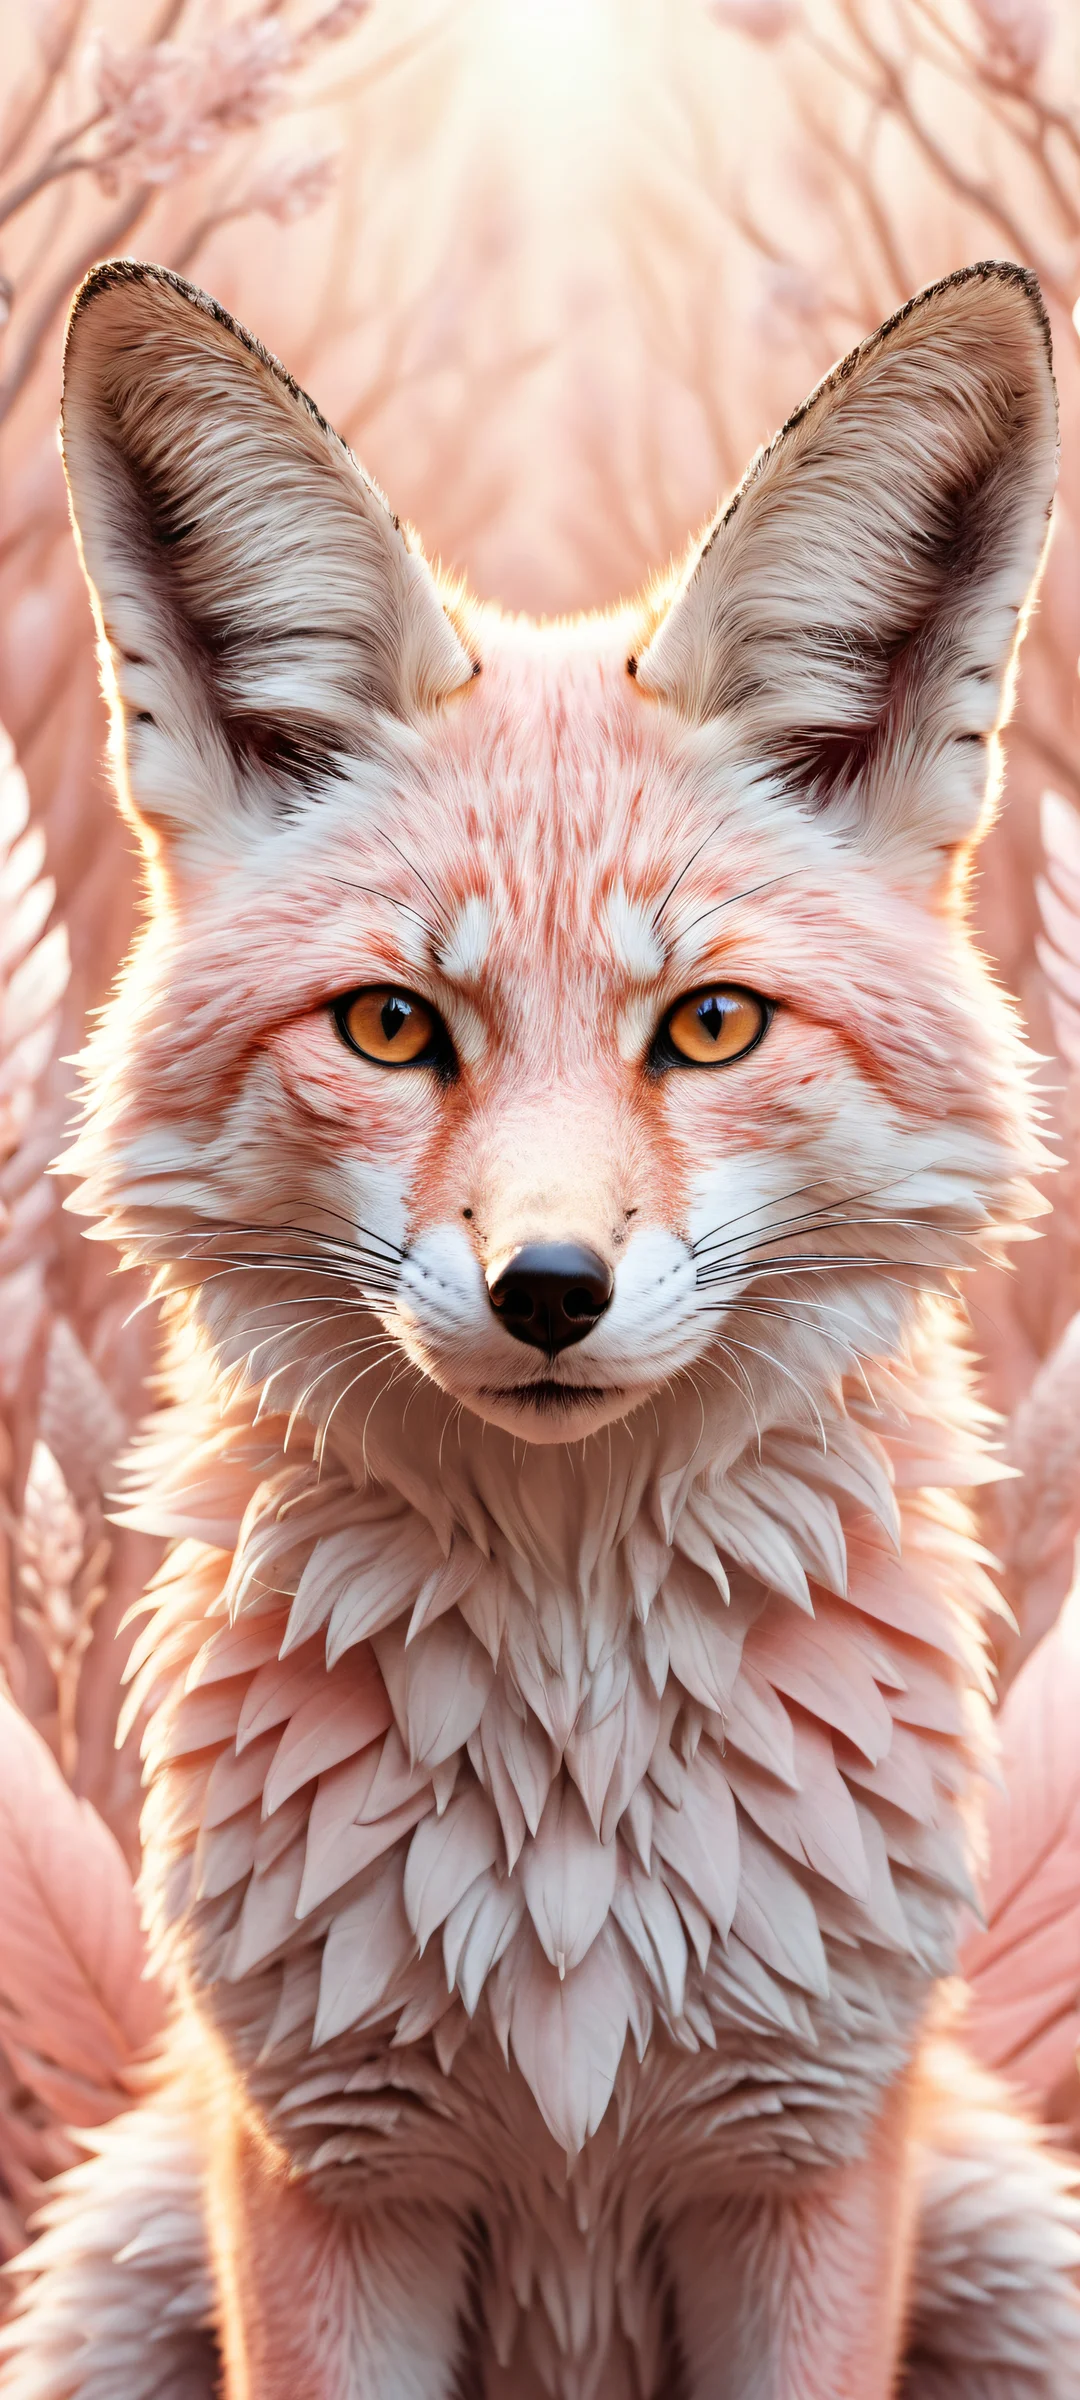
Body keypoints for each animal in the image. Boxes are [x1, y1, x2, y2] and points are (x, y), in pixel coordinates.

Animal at [1, 254, 1078, 2400]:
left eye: (713, 1026)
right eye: (393, 1025)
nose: (552, 1294)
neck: (573, 1841)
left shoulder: (805, 2166)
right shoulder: (329, 2177)